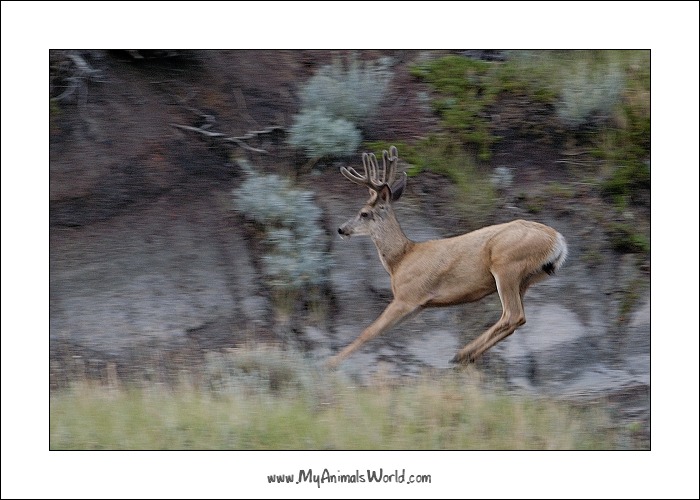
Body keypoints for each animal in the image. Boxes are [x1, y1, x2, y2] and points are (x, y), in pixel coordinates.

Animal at [327, 146, 568, 369]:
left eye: (364, 213)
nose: (341, 229)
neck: (400, 259)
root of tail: (558, 241)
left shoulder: (408, 296)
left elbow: (368, 332)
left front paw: (330, 364)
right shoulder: (418, 306)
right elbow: (380, 331)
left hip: (506, 264)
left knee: (512, 315)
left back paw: (461, 354)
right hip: (526, 279)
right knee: (516, 319)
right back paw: (465, 356)